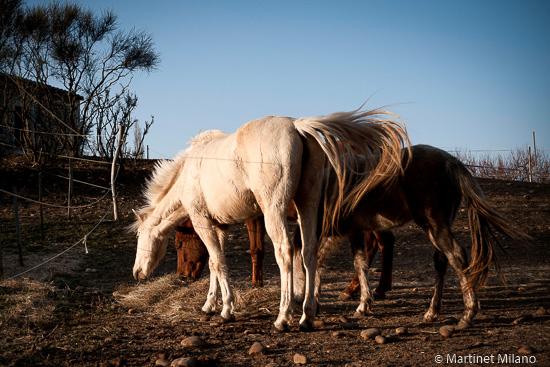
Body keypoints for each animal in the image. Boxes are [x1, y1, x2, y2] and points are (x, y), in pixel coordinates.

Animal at [133, 108, 410, 332]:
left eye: (178, 244)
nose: (137, 272)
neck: (189, 172)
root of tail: (297, 126)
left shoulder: (204, 222)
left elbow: (219, 263)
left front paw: (227, 309)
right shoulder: (219, 227)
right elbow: (213, 263)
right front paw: (210, 304)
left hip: (274, 212)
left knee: (286, 252)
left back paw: (283, 317)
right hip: (307, 207)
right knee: (310, 253)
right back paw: (307, 316)